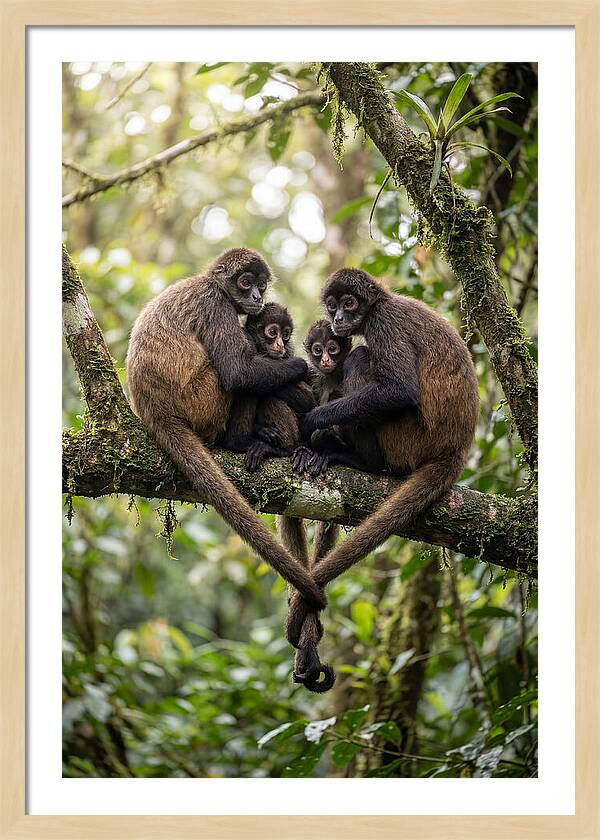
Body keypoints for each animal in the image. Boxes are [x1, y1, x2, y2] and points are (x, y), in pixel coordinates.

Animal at [126, 247, 326, 614]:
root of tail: (155, 411)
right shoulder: (215, 304)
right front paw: (301, 367)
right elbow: (237, 371)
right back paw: (242, 441)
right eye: (246, 282)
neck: (210, 284)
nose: (257, 297)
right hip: (203, 401)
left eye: (261, 284)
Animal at [285, 267, 479, 649]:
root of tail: (455, 449)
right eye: (332, 305)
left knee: (361, 357)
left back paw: (358, 460)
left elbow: (399, 389)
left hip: (408, 438)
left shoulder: (383, 322)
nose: (339, 319)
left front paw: (313, 424)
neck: (382, 302)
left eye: (349, 303)